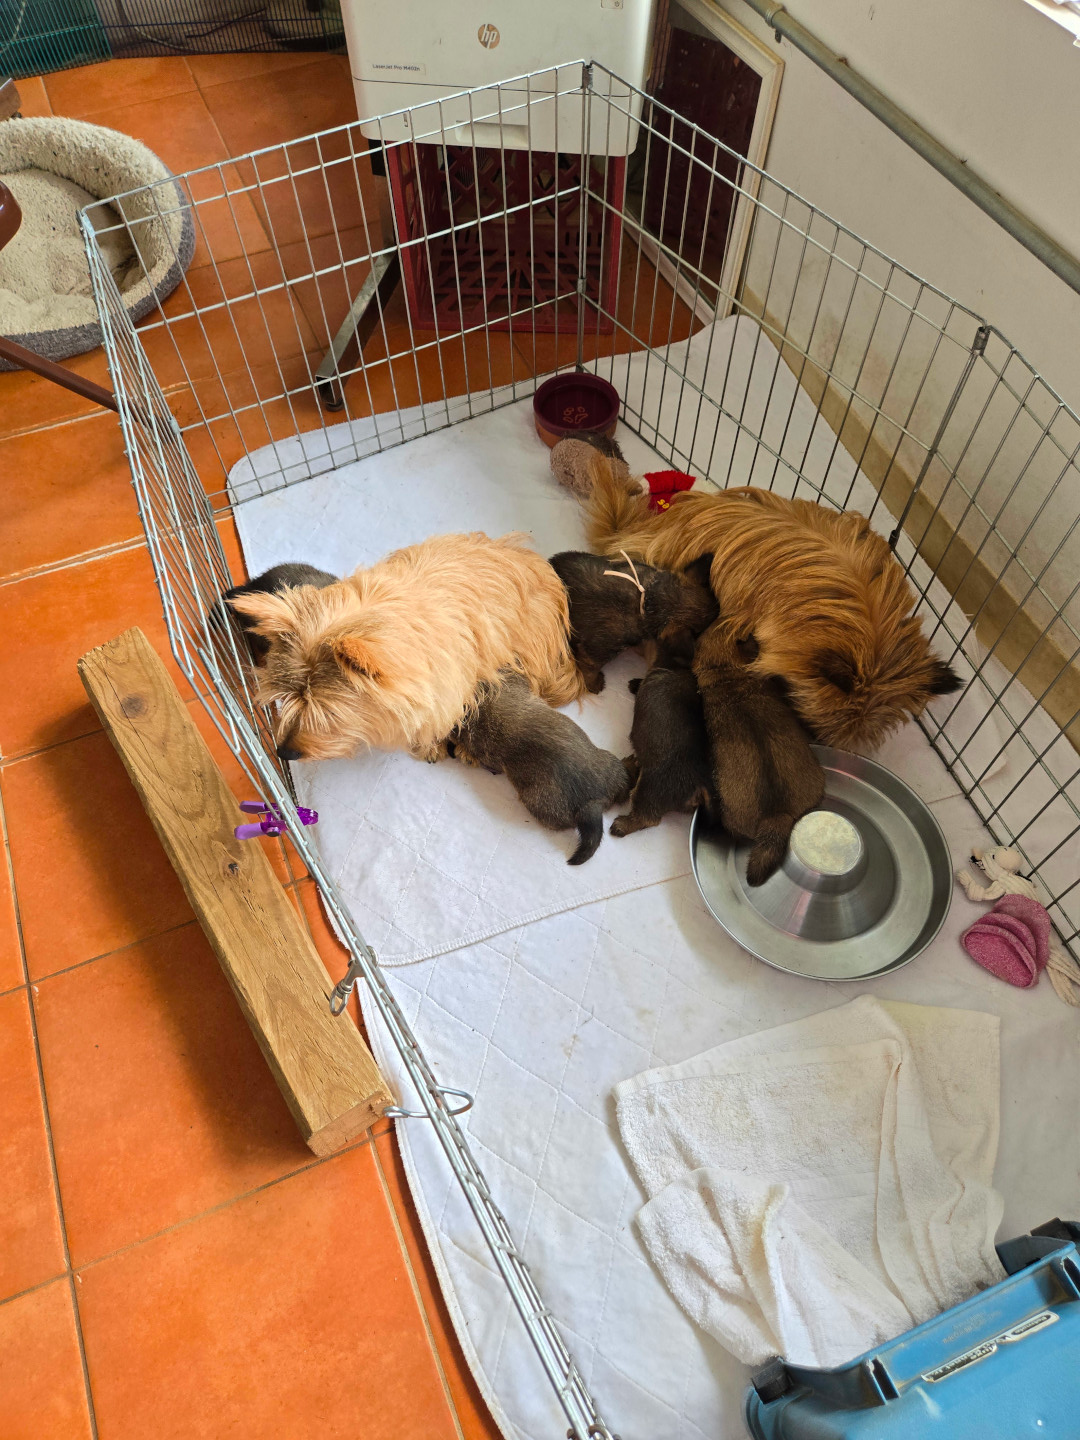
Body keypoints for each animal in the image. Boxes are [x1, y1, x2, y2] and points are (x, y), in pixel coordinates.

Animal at [549, 549, 718, 693]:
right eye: (697, 632)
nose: (718, 610)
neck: (649, 598)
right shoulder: (596, 651)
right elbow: (590, 670)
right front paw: (595, 685)